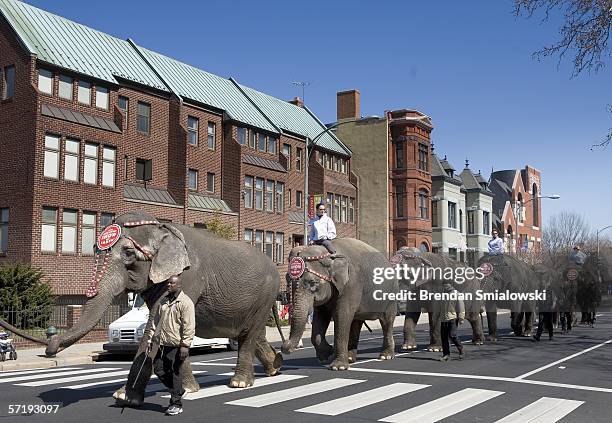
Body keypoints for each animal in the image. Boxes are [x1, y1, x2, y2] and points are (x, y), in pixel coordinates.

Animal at [0, 212, 282, 408]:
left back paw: (240, 383)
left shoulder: (188, 277)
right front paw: (188, 390)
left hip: (266, 294)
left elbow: (154, 328)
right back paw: (275, 367)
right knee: (250, 333)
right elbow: (160, 323)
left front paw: (124, 397)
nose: (50, 347)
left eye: (128, 252)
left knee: (249, 336)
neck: (160, 227)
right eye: (94, 250)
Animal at [280, 238, 396, 372]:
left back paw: (385, 356)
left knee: (387, 322)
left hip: (391, 296)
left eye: (312, 283)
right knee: (356, 323)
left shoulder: (351, 285)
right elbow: (321, 317)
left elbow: (342, 316)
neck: (329, 254)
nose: (284, 346)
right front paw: (327, 355)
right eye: (288, 281)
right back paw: (350, 358)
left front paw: (338, 367)